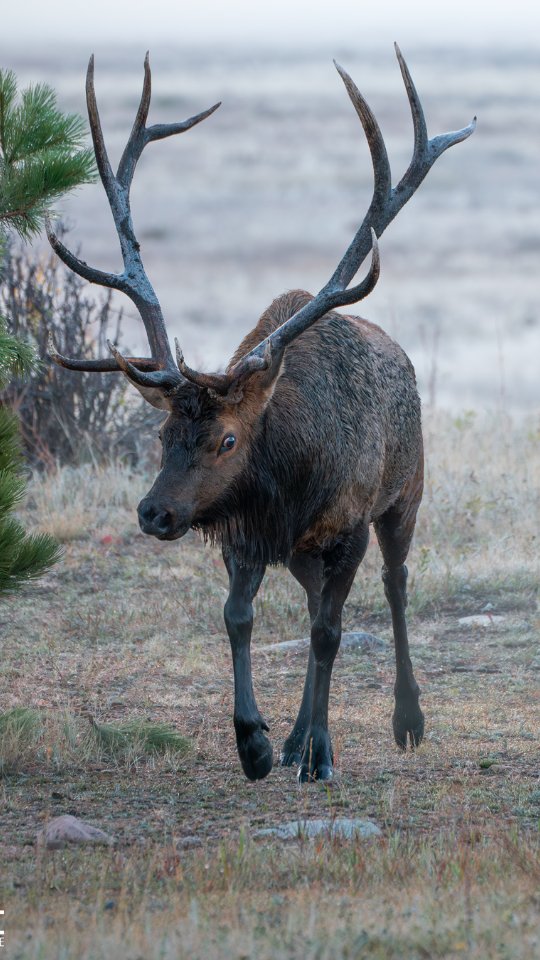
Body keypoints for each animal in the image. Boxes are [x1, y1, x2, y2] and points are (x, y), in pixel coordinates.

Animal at [47, 46, 475, 783]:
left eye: (226, 439)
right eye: (163, 432)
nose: (155, 512)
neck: (290, 485)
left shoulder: (348, 523)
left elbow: (331, 633)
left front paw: (321, 753)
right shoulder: (244, 533)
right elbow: (238, 618)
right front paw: (257, 742)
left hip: (406, 492)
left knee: (393, 586)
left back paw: (405, 720)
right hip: (305, 552)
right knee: (311, 599)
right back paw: (299, 734)